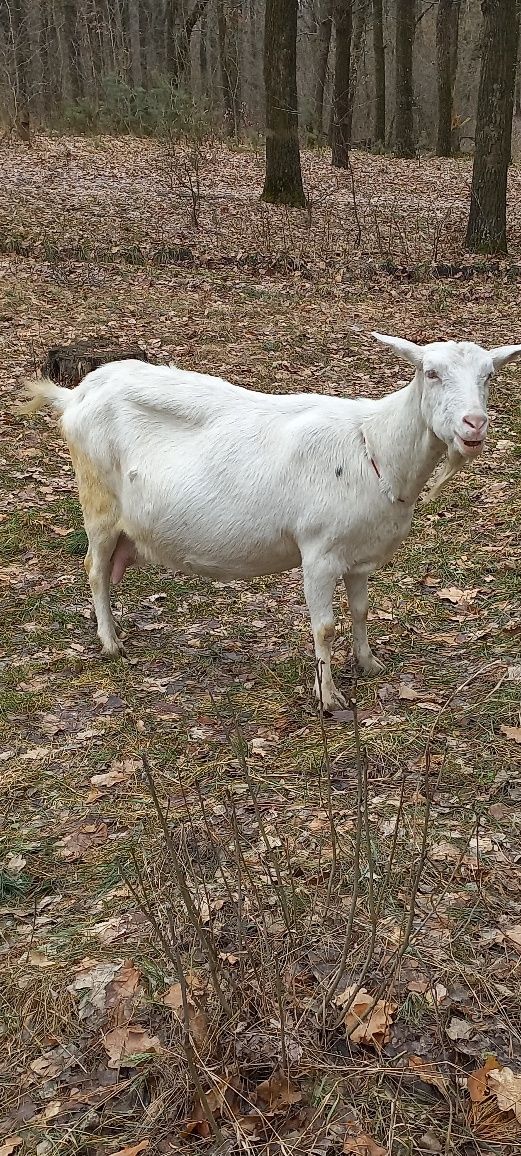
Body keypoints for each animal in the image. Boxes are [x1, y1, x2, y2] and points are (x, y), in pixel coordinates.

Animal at [20, 332, 521, 712]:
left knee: (108, 570)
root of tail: (76, 393)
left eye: (489, 376)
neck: (373, 446)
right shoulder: (318, 553)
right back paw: (110, 643)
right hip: (98, 502)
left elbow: (360, 609)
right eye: (430, 372)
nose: (474, 424)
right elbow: (325, 627)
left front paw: (369, 664)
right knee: (94, 569)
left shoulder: (359, 554)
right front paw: (330, 697)